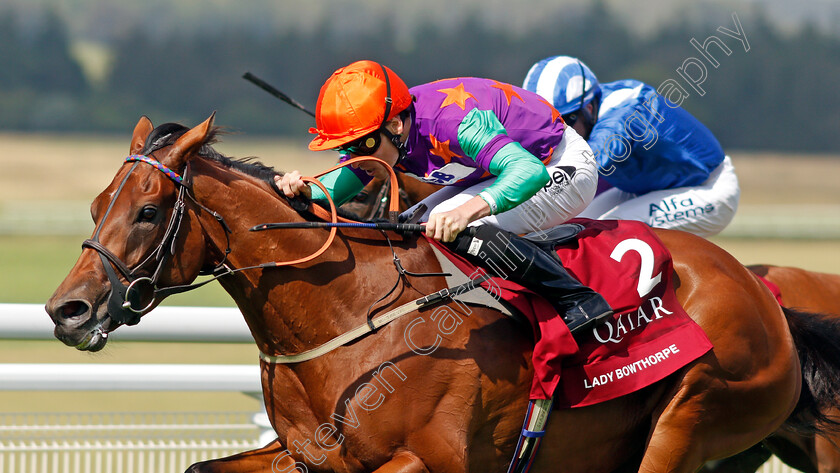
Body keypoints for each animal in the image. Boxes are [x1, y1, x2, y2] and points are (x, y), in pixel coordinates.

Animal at [47, 115, 840, 472]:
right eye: (95, 205)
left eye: (148, 211)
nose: (67, 309)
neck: (348, 319)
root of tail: (765, 295)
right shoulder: (309, 457)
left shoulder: (430, 461)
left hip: (691, 416)